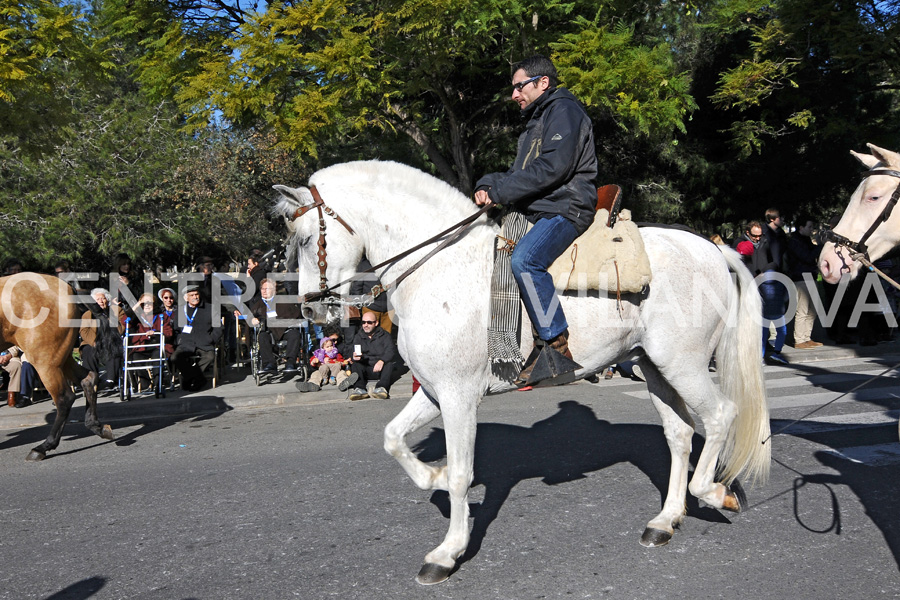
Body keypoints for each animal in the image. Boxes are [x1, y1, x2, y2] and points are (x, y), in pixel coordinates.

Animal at [272, 162, 768, 584]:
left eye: (303, 240)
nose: (310, 310)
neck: (440, 268)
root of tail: (709, 245)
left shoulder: (458, 397)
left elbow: (461, 473)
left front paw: (447, 551)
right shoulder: (433, 392)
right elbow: (393, 438)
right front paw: (431, 478)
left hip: (683, 364)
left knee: (720, 416)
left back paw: (715, 492)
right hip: (655, 367)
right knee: (679, 436)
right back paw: (666, 520)